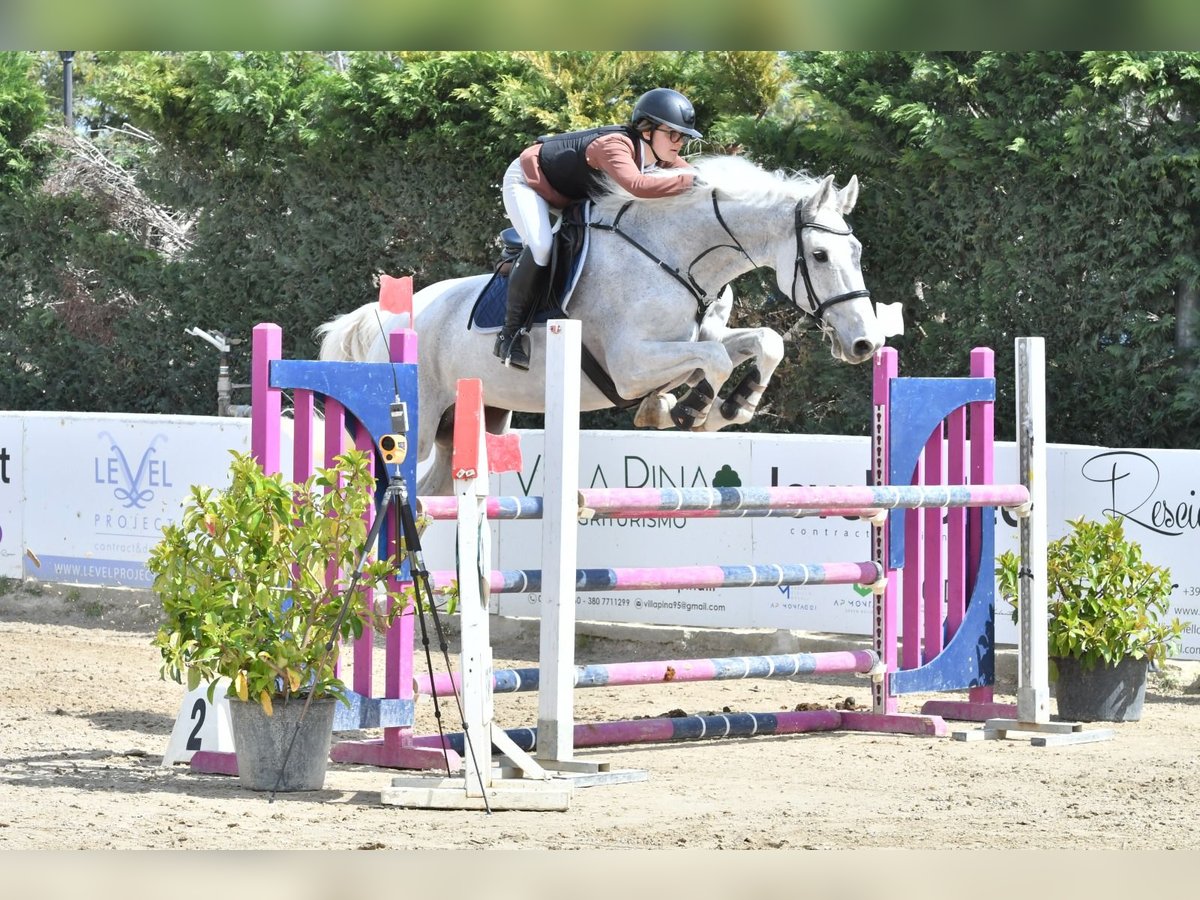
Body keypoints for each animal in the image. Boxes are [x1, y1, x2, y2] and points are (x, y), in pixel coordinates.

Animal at [321, 152, 892, 496]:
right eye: (819, 255)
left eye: (859, 252)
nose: (865, 343)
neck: (676, 256)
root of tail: (384, 317)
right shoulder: (630, 366)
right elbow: (715, 359)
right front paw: (692, 410)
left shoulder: (692, 340)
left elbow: (761, 342)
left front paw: (732, 405)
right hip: (413, 427)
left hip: (469, 423)